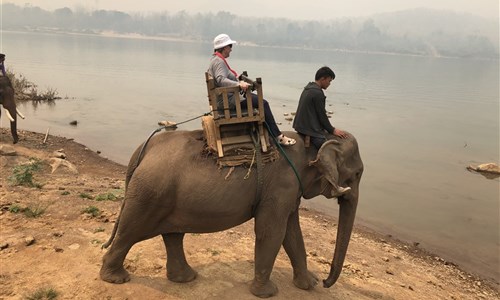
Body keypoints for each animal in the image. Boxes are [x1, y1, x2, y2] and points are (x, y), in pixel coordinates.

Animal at [99, 131, 364, 298]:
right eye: (358, 174)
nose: (326, 282)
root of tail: (142, 150)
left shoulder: (289, 190)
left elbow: (291, 232)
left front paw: (308, 285)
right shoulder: (281, 186)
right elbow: (271, 231)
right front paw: (267, 293)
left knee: (173, 235)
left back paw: (185, 278)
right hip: (149, 195)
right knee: (130, 233)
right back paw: (115, 278)